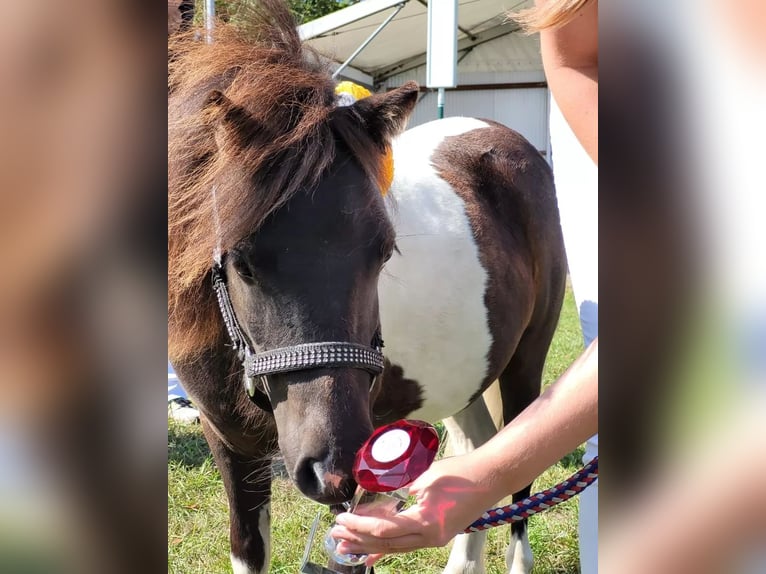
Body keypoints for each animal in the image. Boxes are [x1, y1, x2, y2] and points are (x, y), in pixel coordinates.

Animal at [168, 2, 568, 572]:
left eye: (383, 252)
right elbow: (248, 546)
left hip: (525, 364)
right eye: (241, 262)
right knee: (479, 452)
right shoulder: (227, 441)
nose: (333, 465)